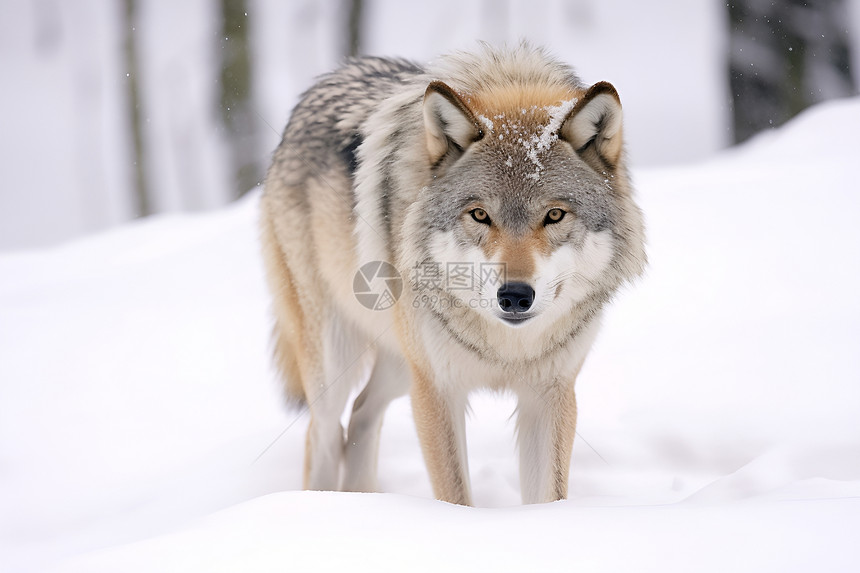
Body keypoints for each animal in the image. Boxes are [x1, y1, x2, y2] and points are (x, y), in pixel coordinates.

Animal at [262, 44, 644, 504]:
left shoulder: (550, 395)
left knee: (361, 413)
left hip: (399, 365)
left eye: (554, 215)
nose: (515, 296)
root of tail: (323, 83)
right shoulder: (437, 391)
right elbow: (455, 496)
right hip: (338, 361)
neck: (505, 348)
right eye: (480, 215)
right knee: (323, 433)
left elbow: (547, 497)